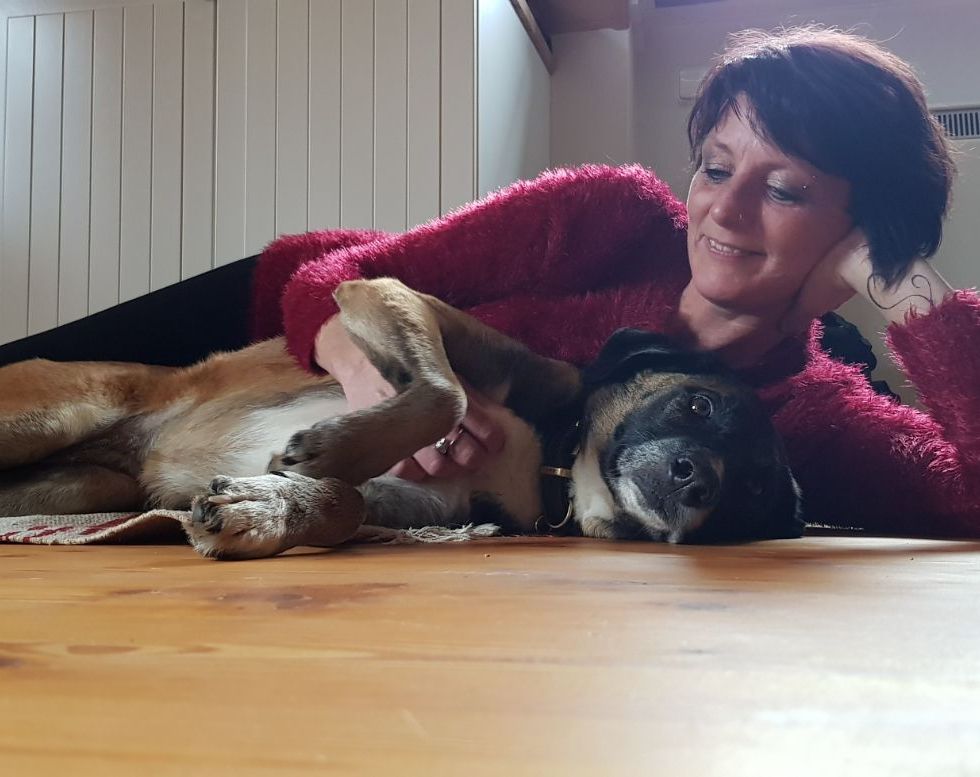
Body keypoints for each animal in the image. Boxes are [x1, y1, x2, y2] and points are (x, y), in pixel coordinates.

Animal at [0, 278, 803, 558]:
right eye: (698, 404)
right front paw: (331, 450)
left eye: (756, 488)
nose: (699, 480)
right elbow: (447, 394)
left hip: (79, 485)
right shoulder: (384, 290)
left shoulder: (423, 502)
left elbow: (345, 503)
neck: (552, 459)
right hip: (50, 413)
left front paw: (265, 509)